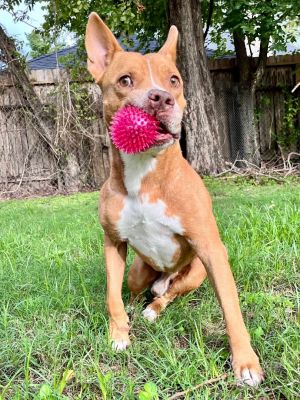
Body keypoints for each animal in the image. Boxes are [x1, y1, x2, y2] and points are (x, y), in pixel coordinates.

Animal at [85, 13, 264, 388]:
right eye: (125, 80)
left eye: (174, 80)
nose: (161, 98)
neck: (145, 173)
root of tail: (164, 277)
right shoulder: (113, 243)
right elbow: (112, 295)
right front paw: (119, 333)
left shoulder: (210, 249)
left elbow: (231, 308)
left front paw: (245, 363)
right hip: (138, 270)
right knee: (135, 289)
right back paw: (137, 308)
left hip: (195, 273)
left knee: (168, 295)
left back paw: (154, 308)